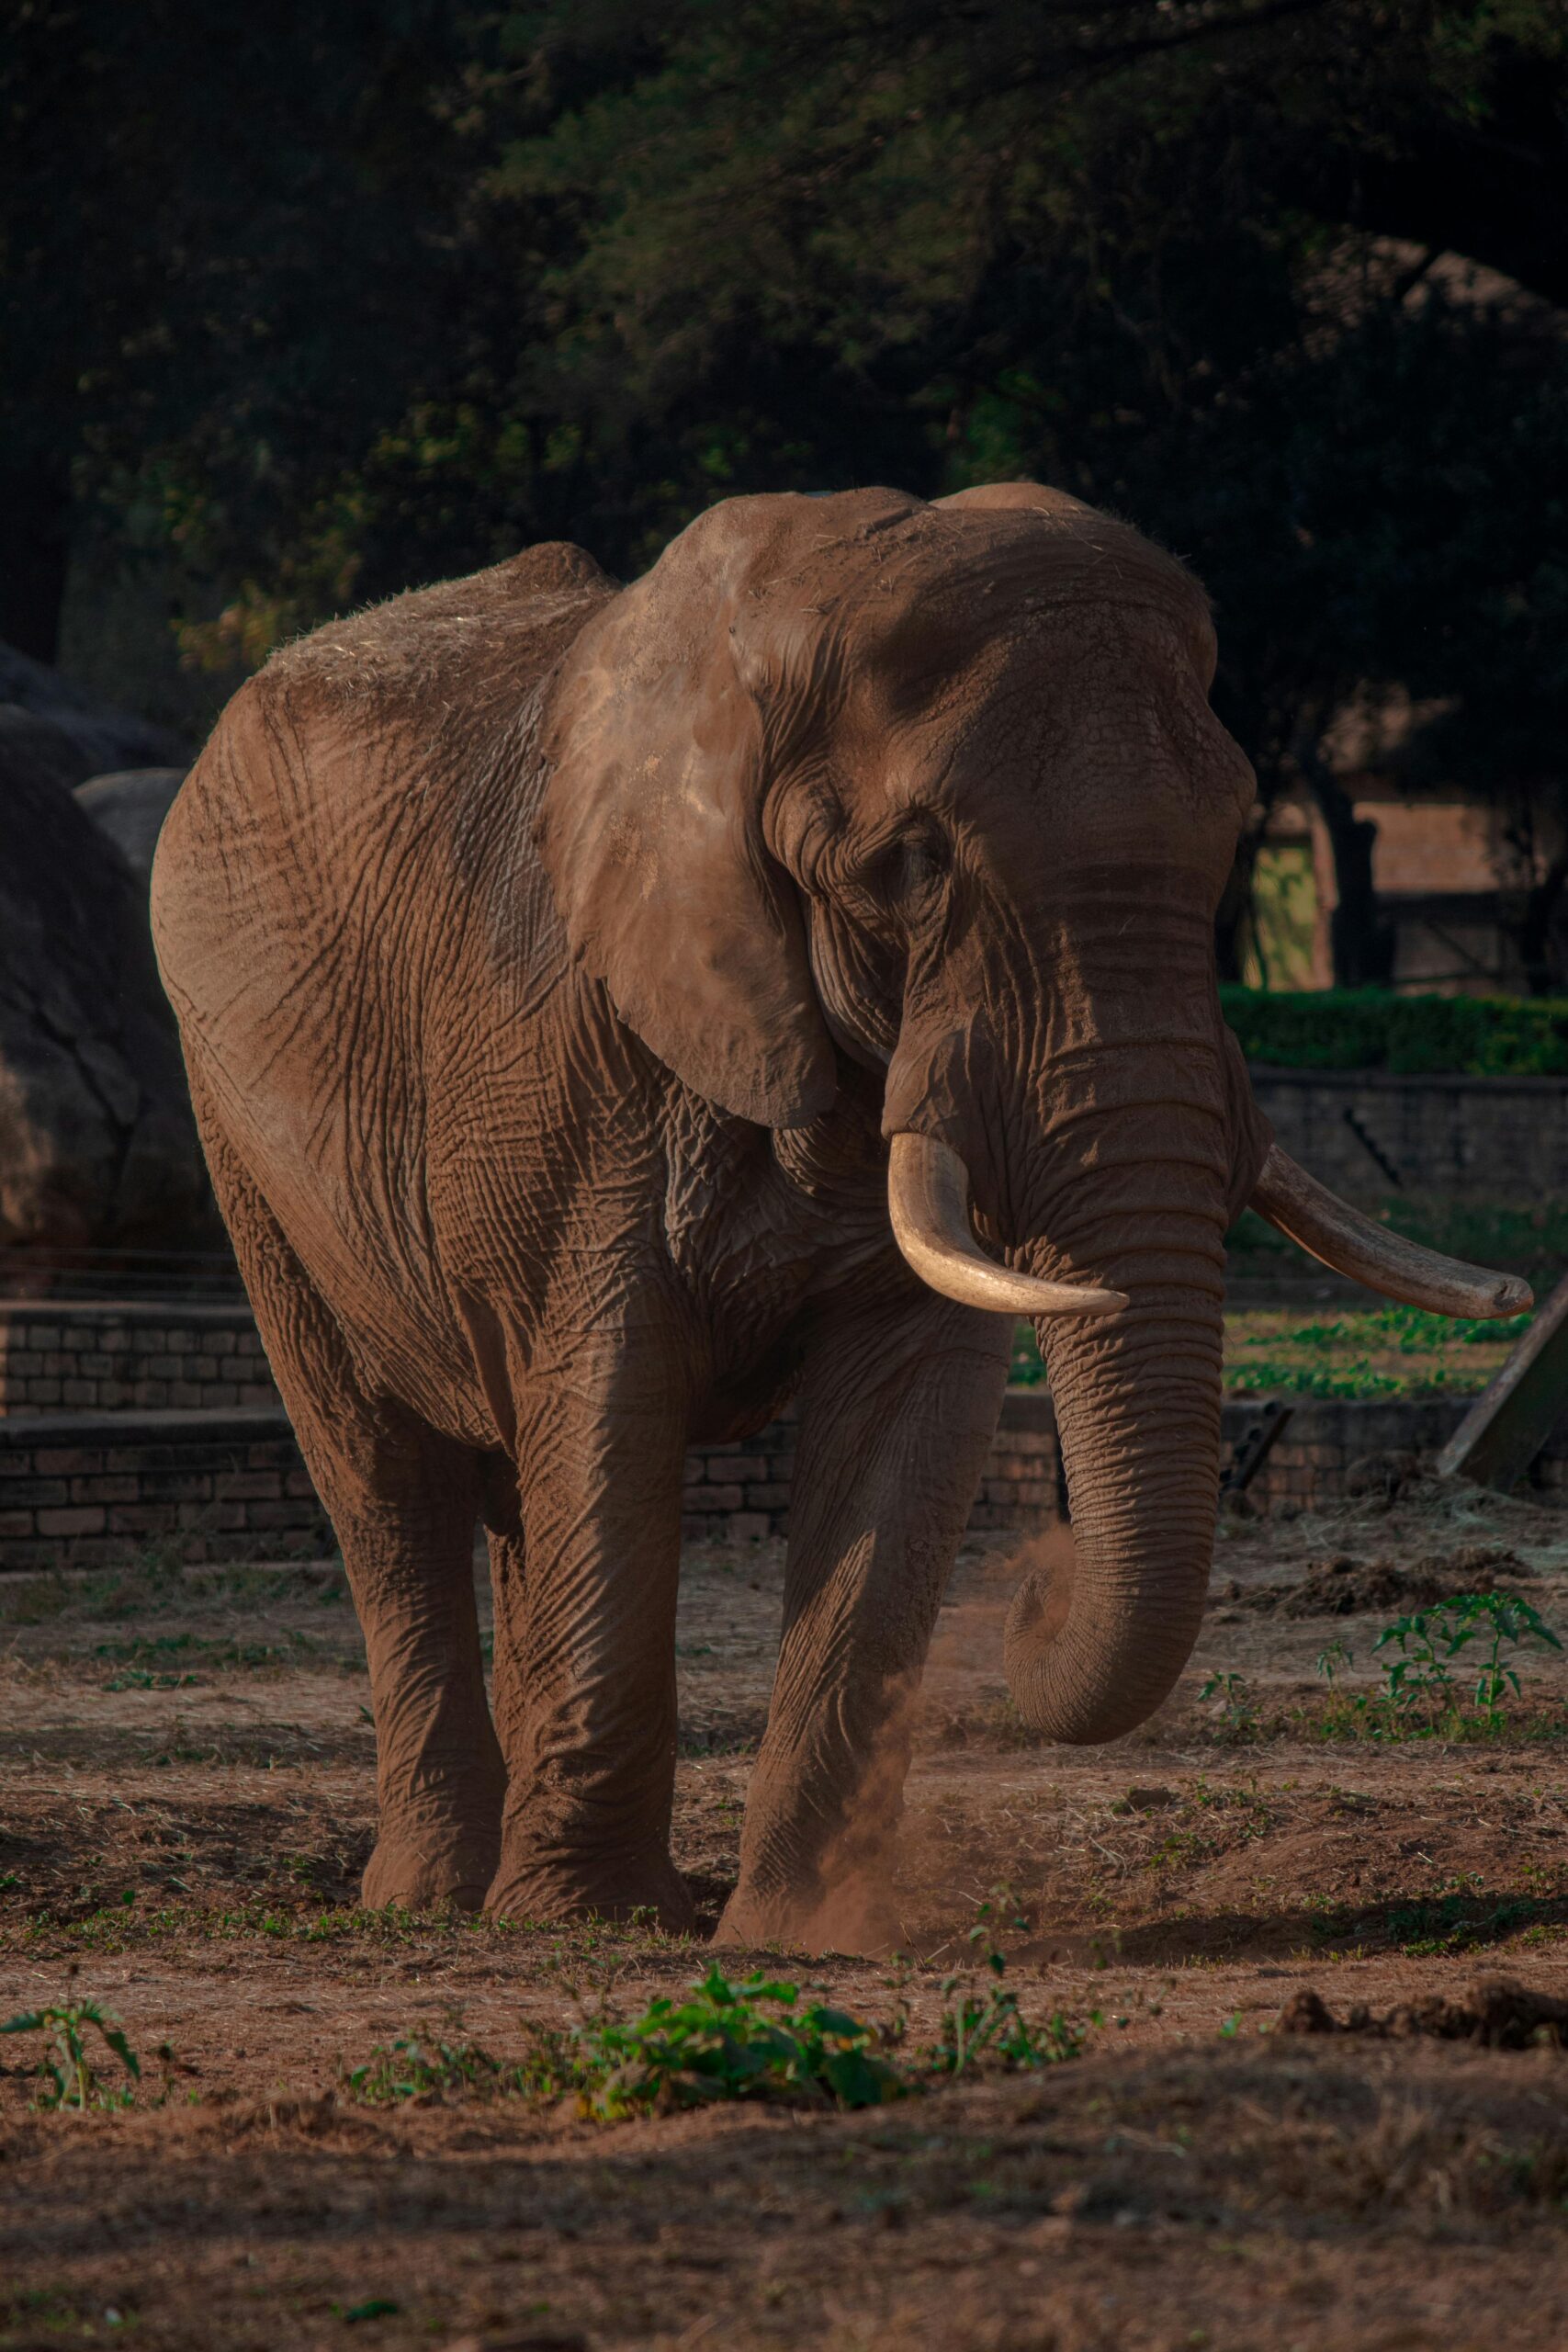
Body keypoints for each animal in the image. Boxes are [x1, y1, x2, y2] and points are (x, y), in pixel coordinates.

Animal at [150, 483, 1528, 1949]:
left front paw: (793, 1933)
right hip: (237, 1125)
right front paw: (592, 1925)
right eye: (912, 866)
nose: (1030, 1591)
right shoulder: (561, 1053)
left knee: (513, 1480)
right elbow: (609, 1394)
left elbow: (905, 1410)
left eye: (1227, 851)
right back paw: (438, 1899)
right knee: (381, 1474)